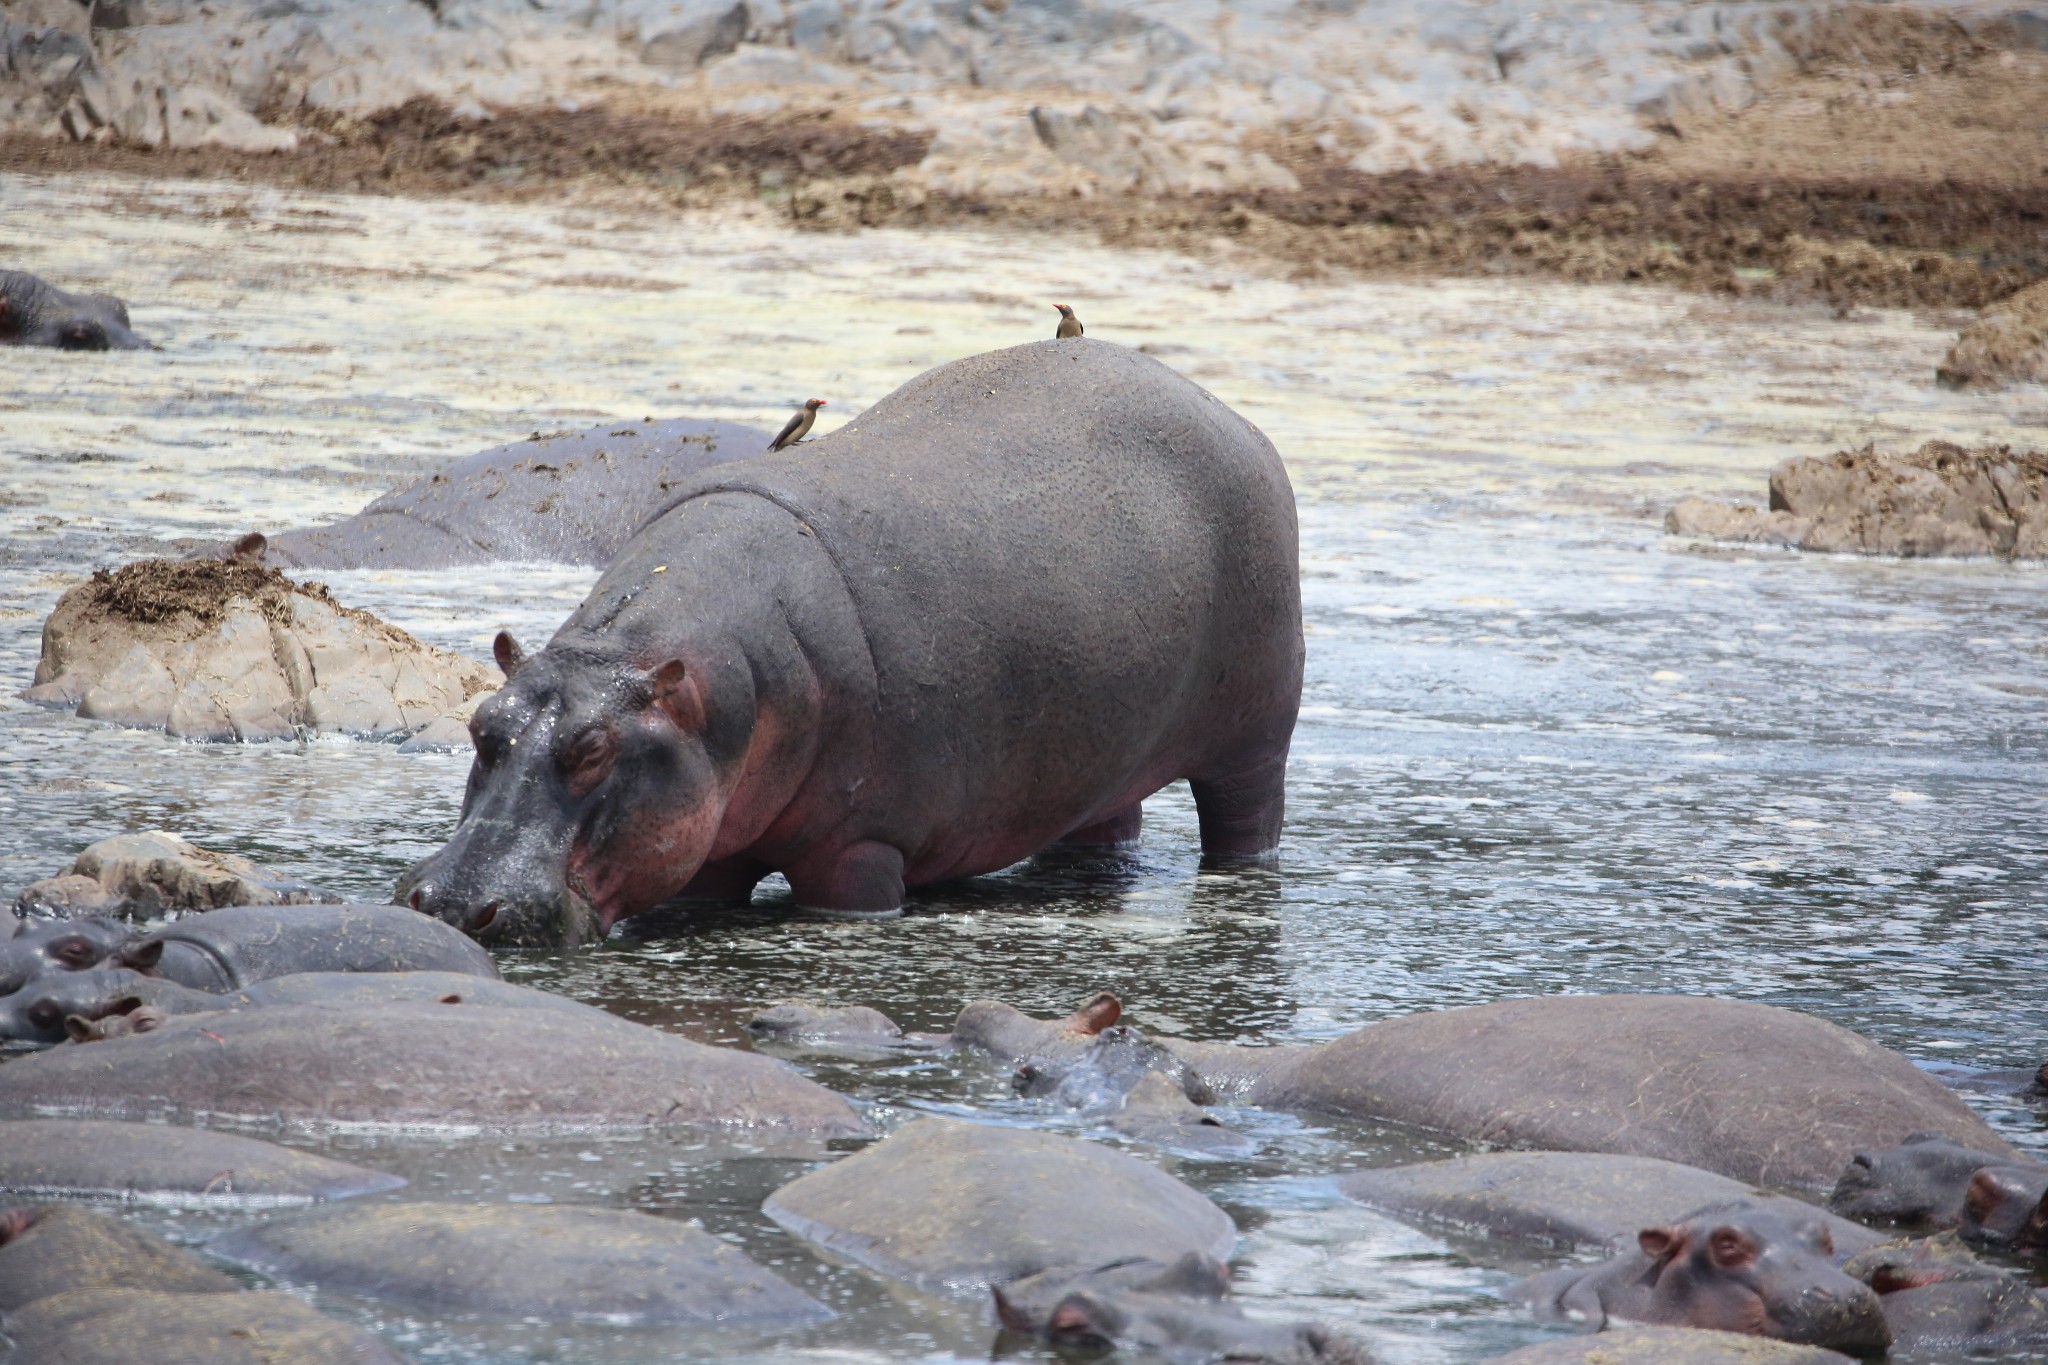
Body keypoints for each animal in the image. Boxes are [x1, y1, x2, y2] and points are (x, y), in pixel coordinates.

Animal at [399, 341, 1294, 945]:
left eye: (593, 749)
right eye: (482, 726)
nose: (453, 903)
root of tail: (1231, 414)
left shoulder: (861, 849)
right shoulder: (703, 844)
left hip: (1256, 737)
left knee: (1246, 817)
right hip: (1099, 752)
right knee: (1104, 823)